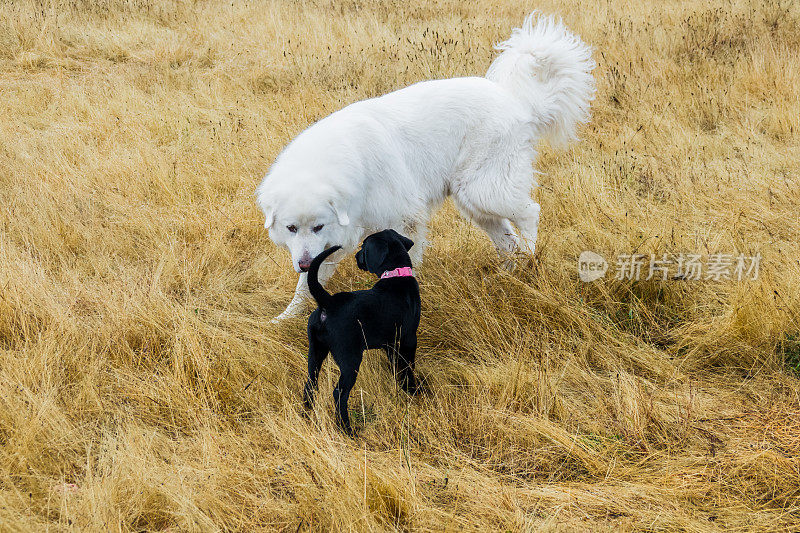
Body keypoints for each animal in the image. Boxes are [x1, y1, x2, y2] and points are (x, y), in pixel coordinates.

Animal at [256, 13, 592, 320]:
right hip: (473, 203)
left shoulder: (404, 218)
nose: (302, 263)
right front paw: (285, 318)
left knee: (529, 213)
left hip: (483, 190)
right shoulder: (328, 244)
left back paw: (531, 260)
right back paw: (508, 275)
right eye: (291, 228)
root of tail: (514, 100)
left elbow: (406, 263)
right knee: (508, 241)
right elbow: (306, 285)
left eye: (318, 226)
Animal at [304, 228, 422, 432]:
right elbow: (408, 366)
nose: (356, 256)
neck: (396, 274)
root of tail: (328, 302)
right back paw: (346, 429)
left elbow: (396, 366)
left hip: (316, 351)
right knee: (339, 392)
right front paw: (413, 391)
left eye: (363, 248)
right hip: (350, 358)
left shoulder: (390, 343)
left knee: (310, 383)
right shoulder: (408, 338)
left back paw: (304, 414)